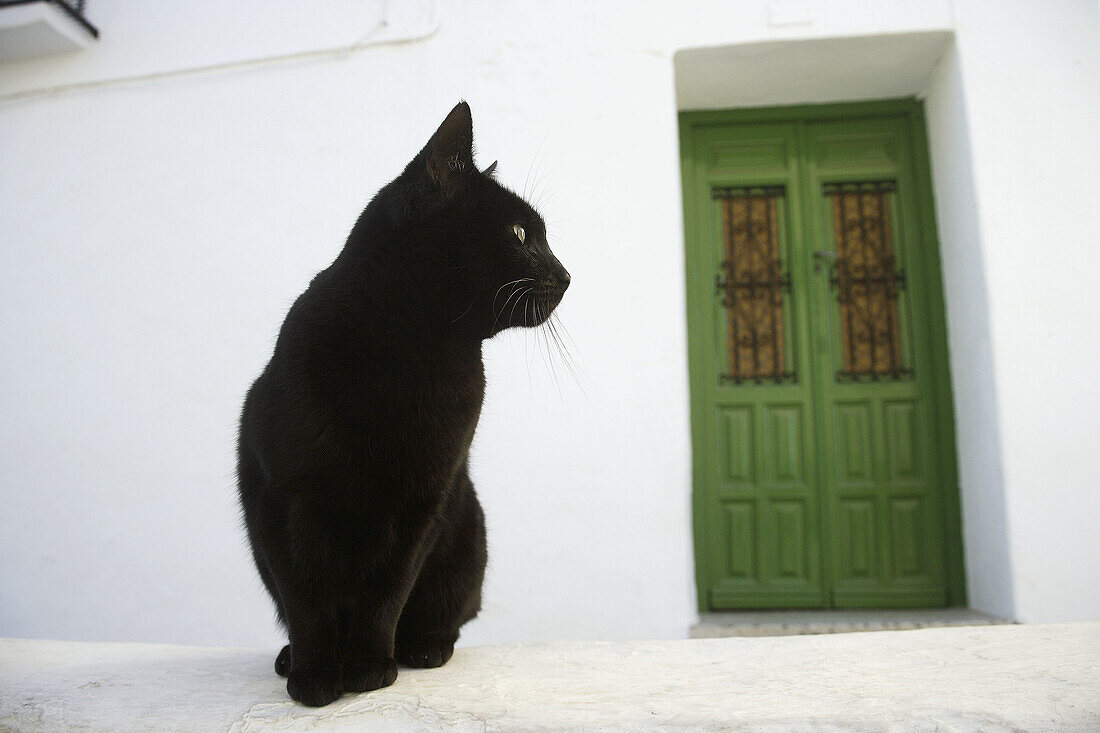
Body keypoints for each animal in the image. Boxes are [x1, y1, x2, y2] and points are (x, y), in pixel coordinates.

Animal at [237, 101, 572, 704]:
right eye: (520, 232)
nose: (568, 274)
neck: (416, 354)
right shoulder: (287, 499)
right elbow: (307, 600)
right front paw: (315, 678)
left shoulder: (424, 501)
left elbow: (386, 594)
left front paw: (369, 669)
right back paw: (289, 658)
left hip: (467, 535)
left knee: (448, 614)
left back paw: (423, 648)